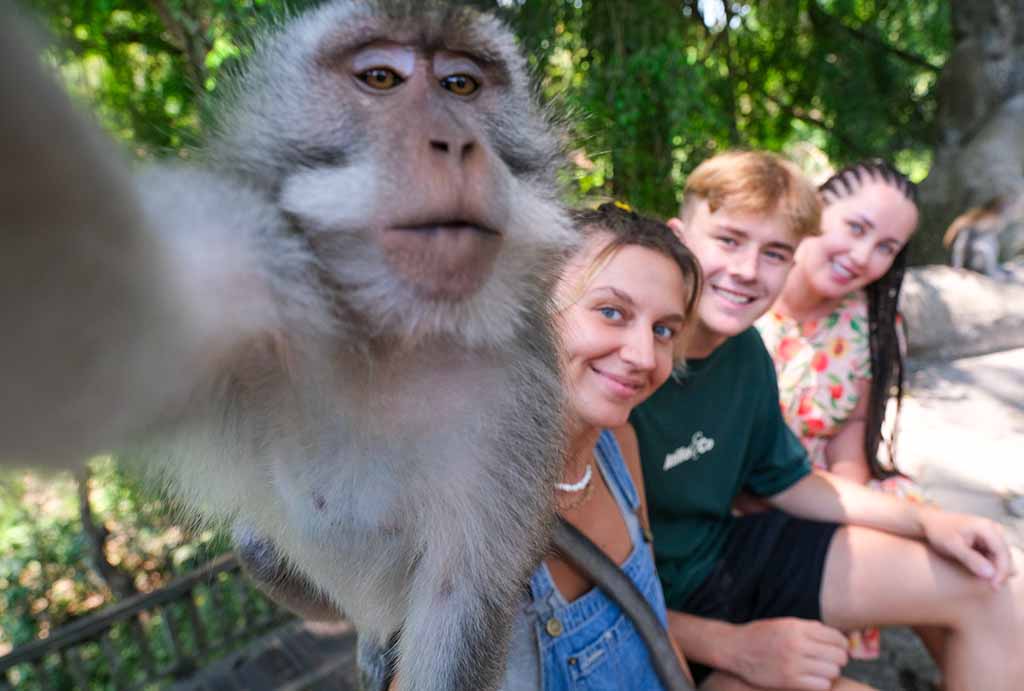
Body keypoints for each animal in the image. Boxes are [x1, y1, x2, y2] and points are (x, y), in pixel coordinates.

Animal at [0, 2, 577, 687]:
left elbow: (459, 600)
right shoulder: (245, 270)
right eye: (381, 78)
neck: (391, 339)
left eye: (460, 85)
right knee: (256, 546)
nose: (457, 144)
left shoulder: (521, 398)